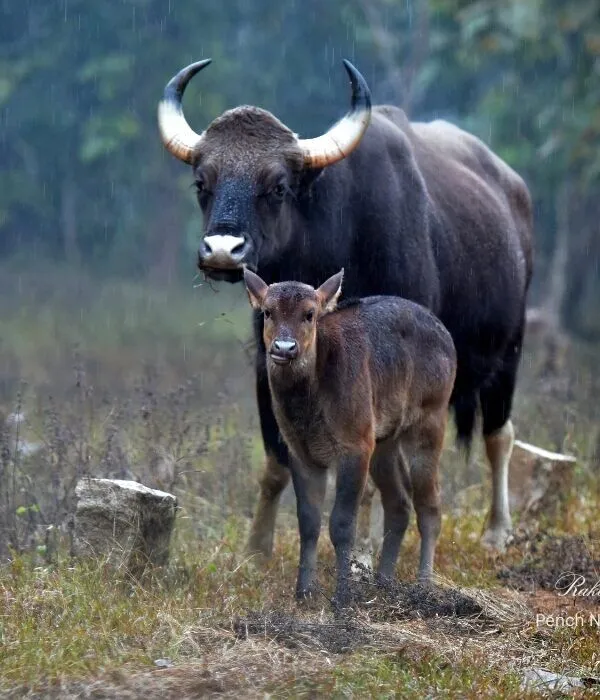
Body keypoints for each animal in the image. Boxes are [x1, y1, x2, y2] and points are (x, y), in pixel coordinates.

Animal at [157, 58, 533, 560]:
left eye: (277, 187)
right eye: (203, 183)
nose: (222, 251)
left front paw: (362, 548)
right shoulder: (267, 364)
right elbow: (276, 461)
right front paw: (257, 550)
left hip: (509, 350)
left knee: (499, 435)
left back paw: (496, 531)